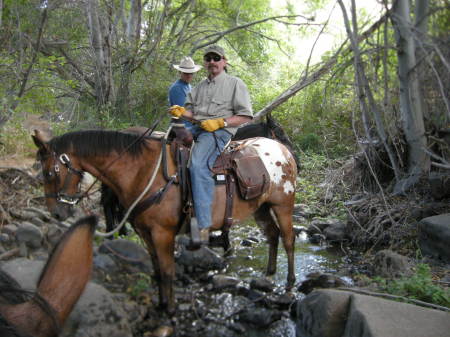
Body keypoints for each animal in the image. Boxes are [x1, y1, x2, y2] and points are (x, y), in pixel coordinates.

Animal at [32, 128, 298, 312]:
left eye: (49, 172)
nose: (56, 213)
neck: (144, 172)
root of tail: (283, 150)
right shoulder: (145, 232)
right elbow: (158, 270)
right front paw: (161, 304)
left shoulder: (163, 234)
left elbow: (169, 271)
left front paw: (170, 309)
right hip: (261, 208)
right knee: (272, 235)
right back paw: (269, 273)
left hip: (283, 206)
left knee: (288, 240)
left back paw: (289, 282)